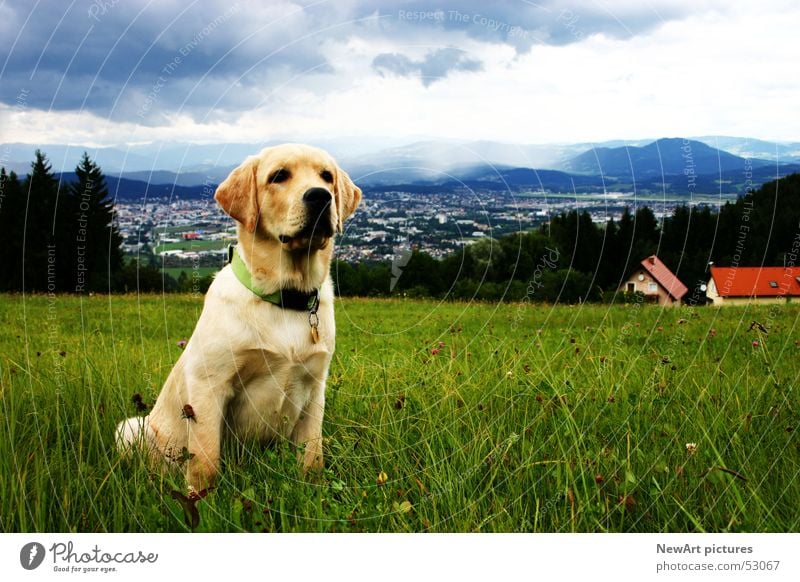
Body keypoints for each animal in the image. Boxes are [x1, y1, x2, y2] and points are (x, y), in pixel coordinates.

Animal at [115, 143, 360, 492]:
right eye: (279, 176)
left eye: (326, 176)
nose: (320, 196)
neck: (283, 296)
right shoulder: (209, 385)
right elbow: (205, 459)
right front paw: (198, 499)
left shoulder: (315, 388)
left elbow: (312, 454)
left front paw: (312, 489)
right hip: (132, 429)